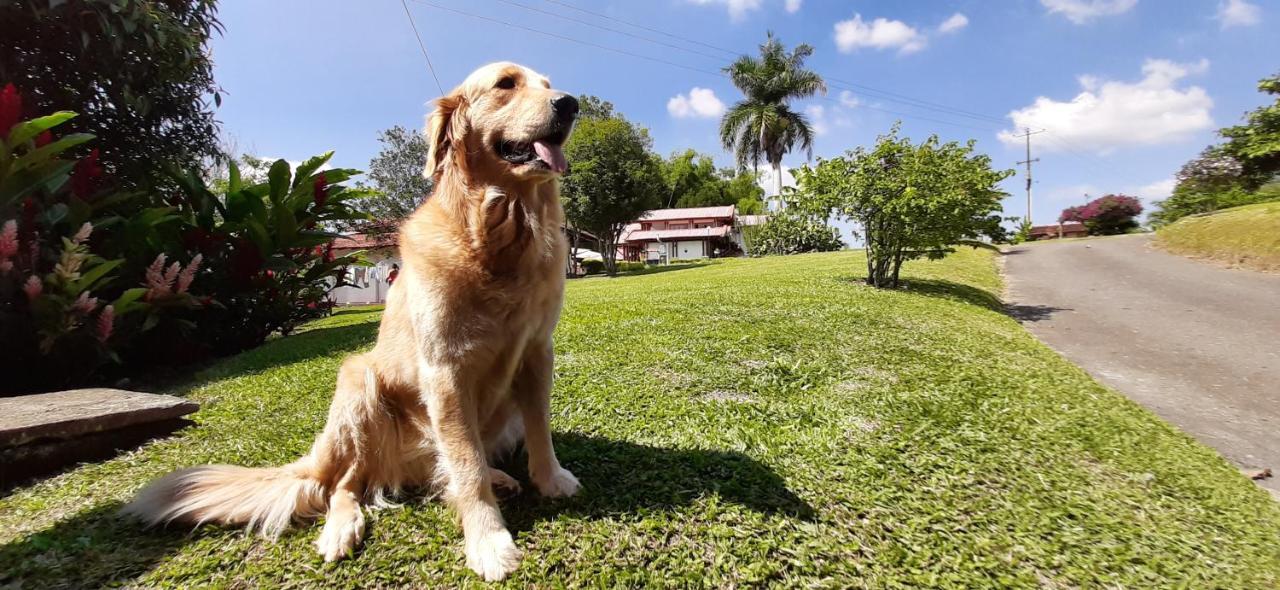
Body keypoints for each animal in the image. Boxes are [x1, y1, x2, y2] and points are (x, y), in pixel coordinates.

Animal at [122, 63, 583, 578]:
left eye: (547, 85)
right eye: (506, 84)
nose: (570, 104)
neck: (496, 236)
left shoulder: (537, 352)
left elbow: (538, 429)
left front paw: (550, 479)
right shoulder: (444, 370)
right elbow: (465, 466)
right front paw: (487, 540)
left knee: (429, 471)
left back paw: (496, 475)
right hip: (359, 381)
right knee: (343, 485)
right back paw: (341, 529)